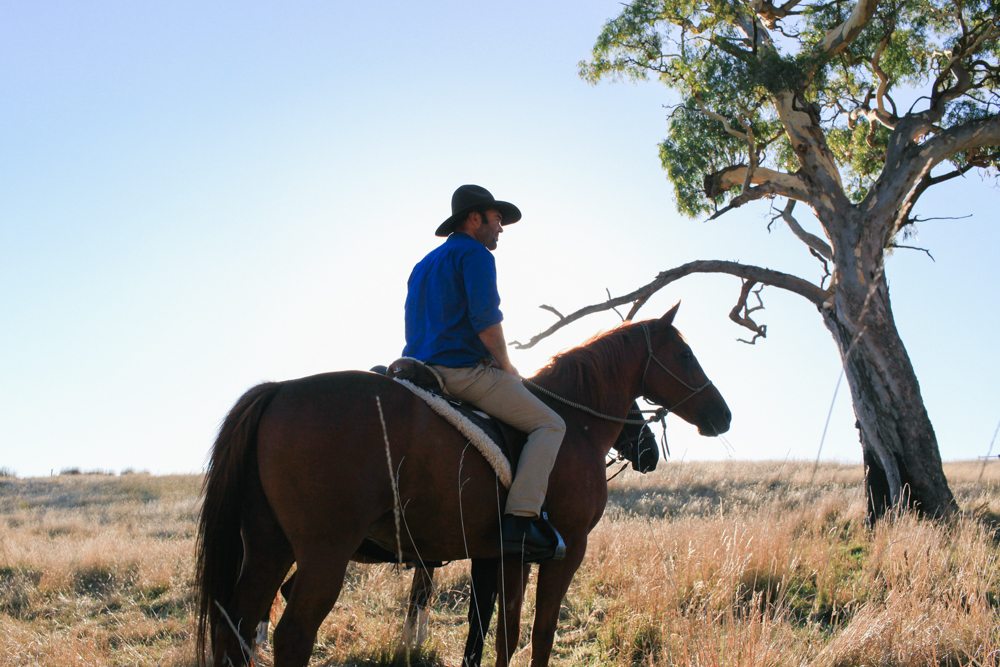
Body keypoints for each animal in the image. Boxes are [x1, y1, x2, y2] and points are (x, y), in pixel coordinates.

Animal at [196, 304, 731, 666]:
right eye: (684, 353)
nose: (722, 415)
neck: (572, 420)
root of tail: (279, 391)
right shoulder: (566, 550)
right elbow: (540, 633)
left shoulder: (504, 556)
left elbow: (500, 632)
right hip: (323, 555)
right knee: (292, 635)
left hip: (267, 548)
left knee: (237, 627)